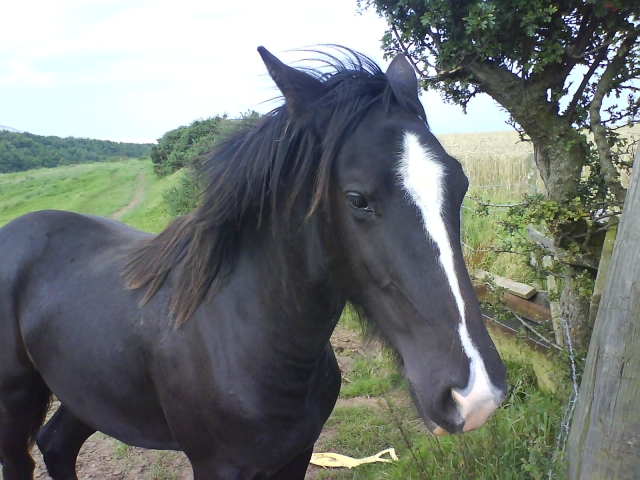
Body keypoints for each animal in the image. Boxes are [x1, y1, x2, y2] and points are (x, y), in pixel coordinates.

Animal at [0, 46, 507, 480]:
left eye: (460, 184)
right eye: (357, 199)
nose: (474, 393)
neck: (246, 336)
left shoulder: (296, 455)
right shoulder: (217, 467)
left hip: (85, 394)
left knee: (57, 444)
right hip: (16, 403)